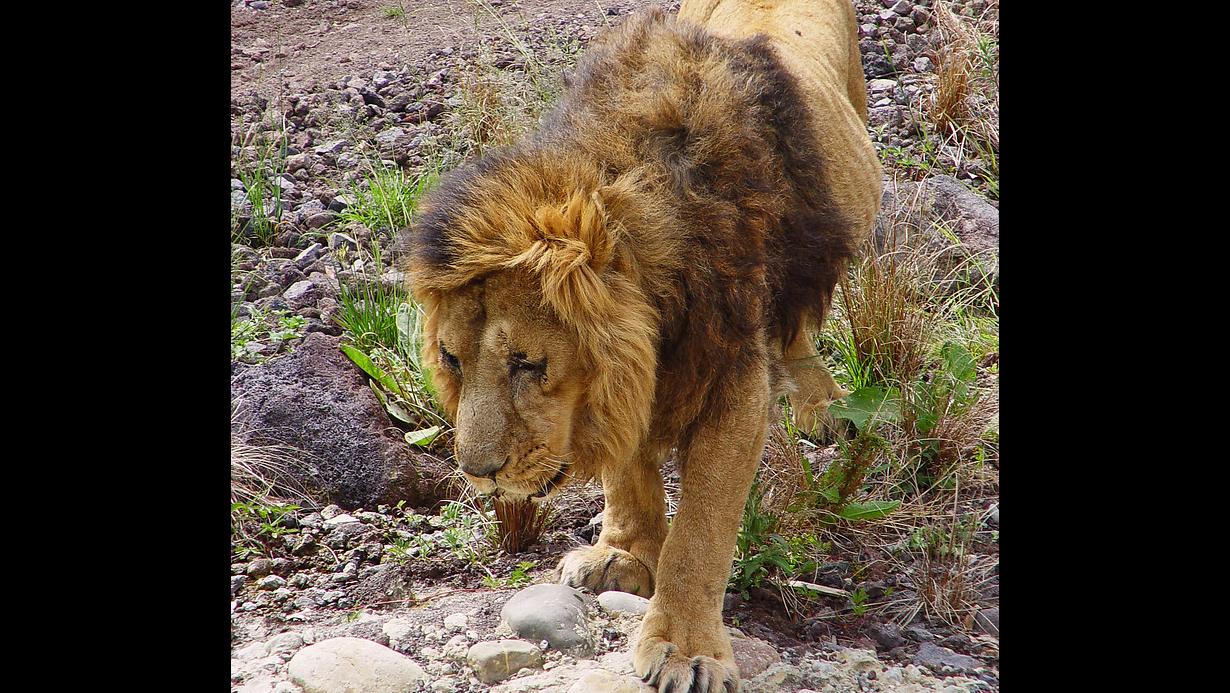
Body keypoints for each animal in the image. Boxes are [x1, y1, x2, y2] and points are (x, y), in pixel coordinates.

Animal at [403, 1, 881, 691]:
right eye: (451, 359)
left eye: (527, 362)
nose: (480, 474)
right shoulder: (622, 385)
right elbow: (627, 466)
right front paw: (623, 555)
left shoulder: (734, 378)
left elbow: (702, 529)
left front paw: (687, 648)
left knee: (798, 315)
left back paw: (822, 405)